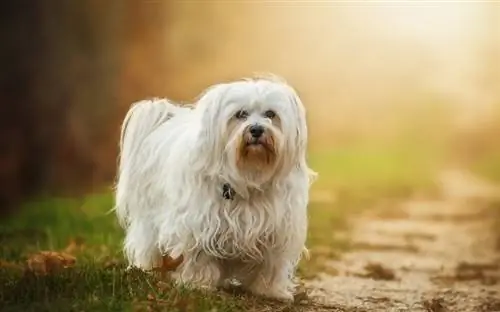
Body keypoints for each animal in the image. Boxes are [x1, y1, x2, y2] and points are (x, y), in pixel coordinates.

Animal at [114, 74, 316, 302]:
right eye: (241, 114)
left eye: (271, 114)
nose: (256, 129)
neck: (249, 174)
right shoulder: (199, 225)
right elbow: (199, 258)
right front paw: (197, 284)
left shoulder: (277, 230)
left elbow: (271, 265)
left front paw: (270, 290)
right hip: (150, 218)